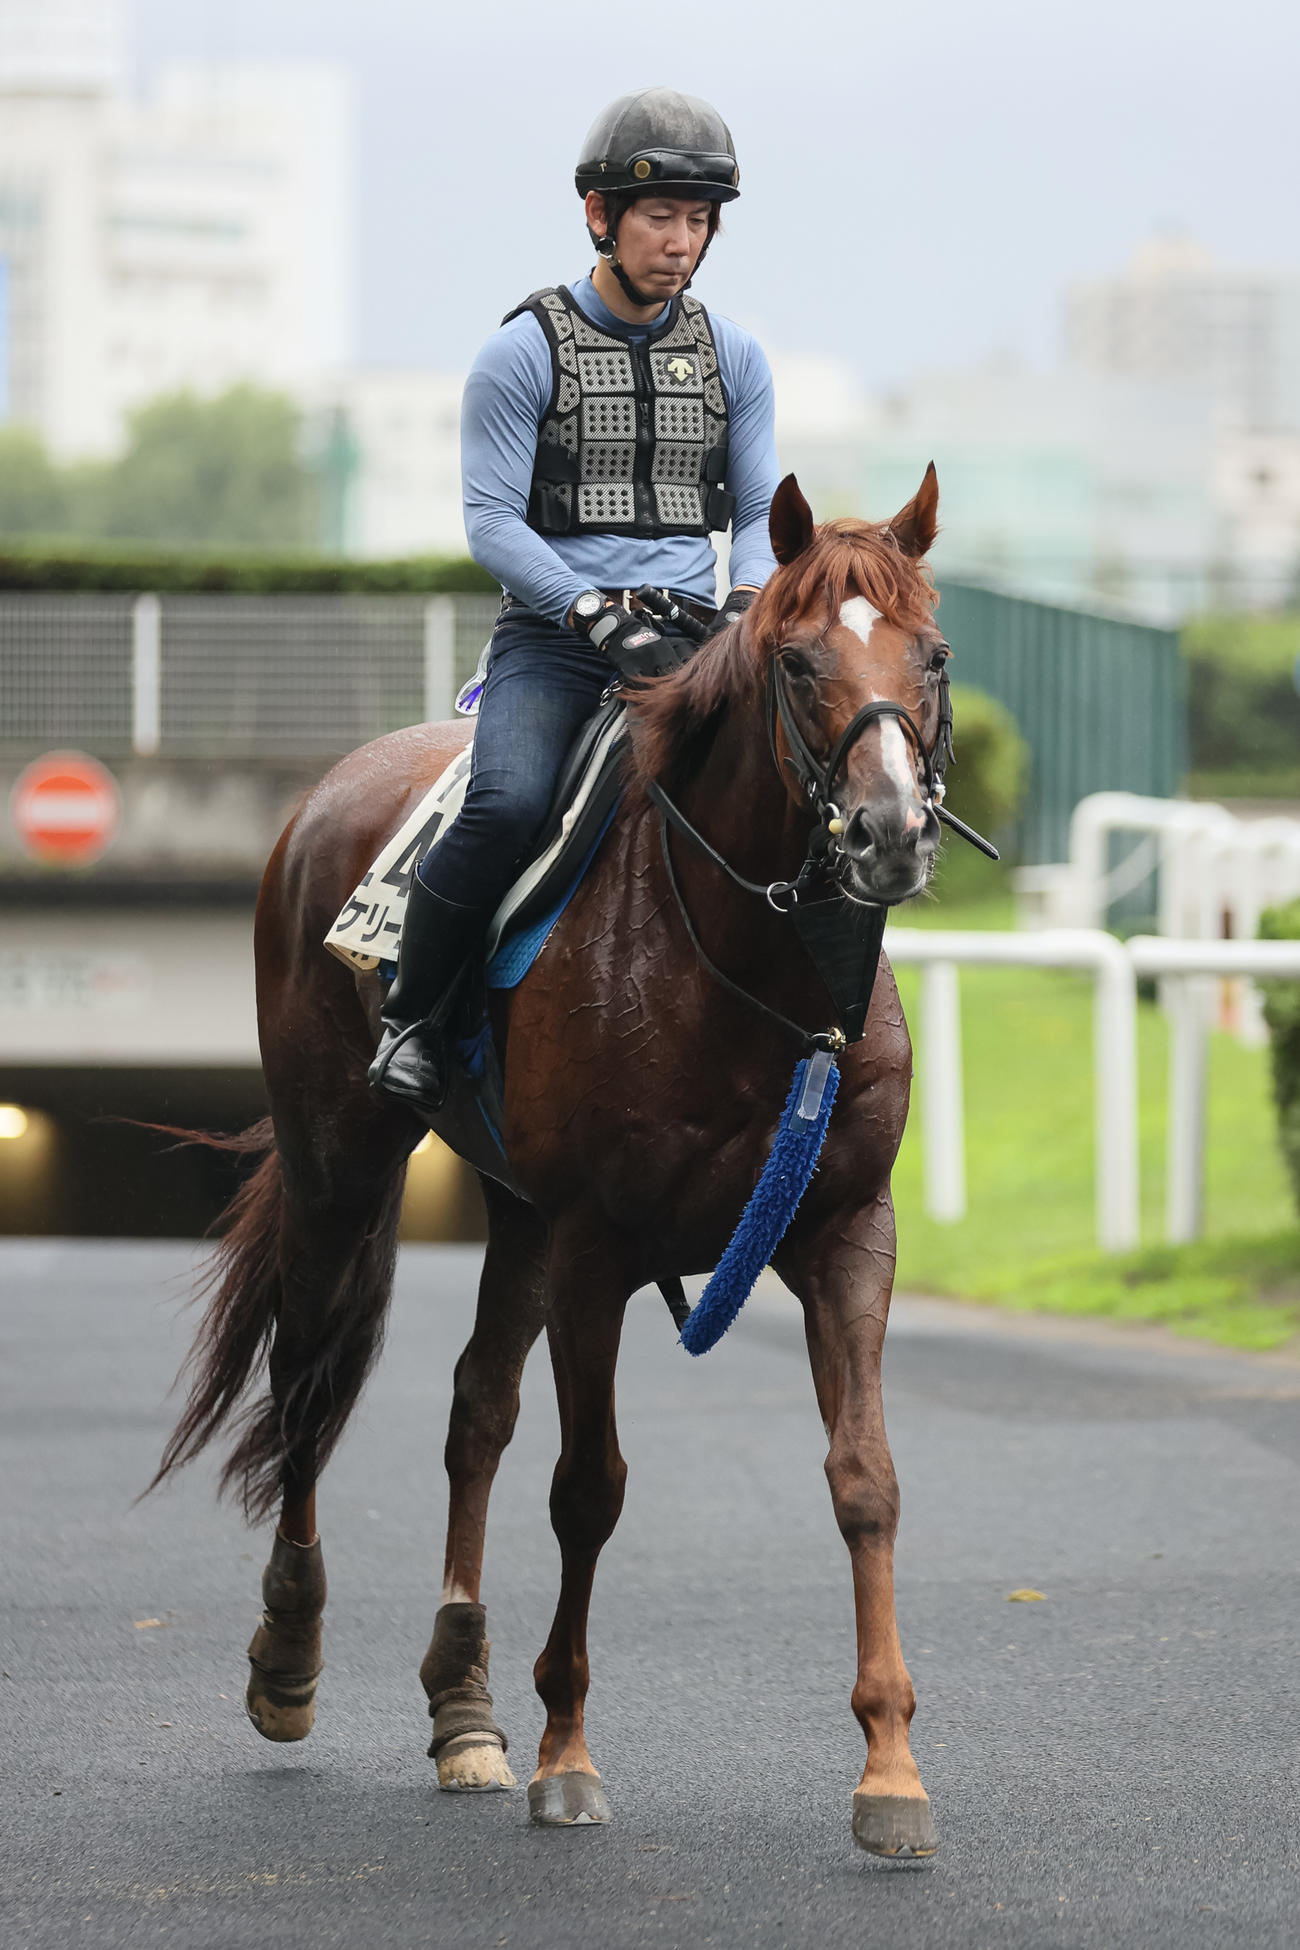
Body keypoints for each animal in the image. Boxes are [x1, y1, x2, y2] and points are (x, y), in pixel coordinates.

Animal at [154, 468, 951, 1857]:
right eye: (798, 662)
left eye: (935, 656)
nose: (889, 833)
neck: (752, 965)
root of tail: (322, 796)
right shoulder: (596, 1248)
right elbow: (588, 1489)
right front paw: (566, 1755)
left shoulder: (845, 1230)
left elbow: (865, 1481)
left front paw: (889, 1773)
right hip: (340, 1169)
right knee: (306, 1383)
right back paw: (290, 1657)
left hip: (513, 1211)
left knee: (476, 1410)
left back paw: (463, 1708)